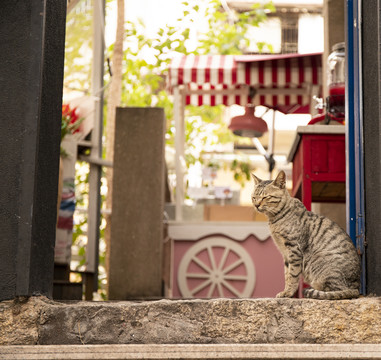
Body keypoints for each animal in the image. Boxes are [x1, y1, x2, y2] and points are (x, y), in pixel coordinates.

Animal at [251, 170, 358, 300]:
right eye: (254, 197)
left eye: (265, 197)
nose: (256, 205)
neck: (275, 219)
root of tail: (357, 286)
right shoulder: (285, 254)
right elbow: (287, 274)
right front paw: (286, 291)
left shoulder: (293, 249)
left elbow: (292, 275)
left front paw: (288, 293)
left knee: (337, 291)